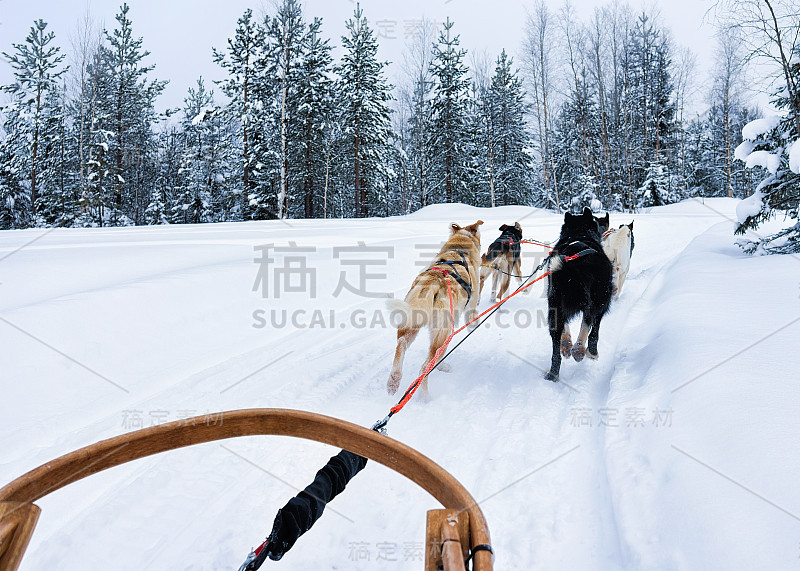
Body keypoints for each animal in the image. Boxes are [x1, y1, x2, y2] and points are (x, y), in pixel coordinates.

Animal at [386, 219, 482, 398]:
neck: (459, 249)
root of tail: (434, 282)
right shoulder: (471, 306)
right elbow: (473, 321)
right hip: (443, 334)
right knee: (425, 367)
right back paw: (424, 397)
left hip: (411, 325)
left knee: (401, 344)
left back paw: (394, 380)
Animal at [544, 208, 612, 382]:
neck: (578, 235)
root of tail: (570, 266)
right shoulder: (603, 305)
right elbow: (594, 330)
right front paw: (592, 352)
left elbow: (565, 327)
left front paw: (566, 342)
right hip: (596, 299)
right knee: (587, 321)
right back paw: (579, 349)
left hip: (554, 303)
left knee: (556, 348)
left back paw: (555, 370)